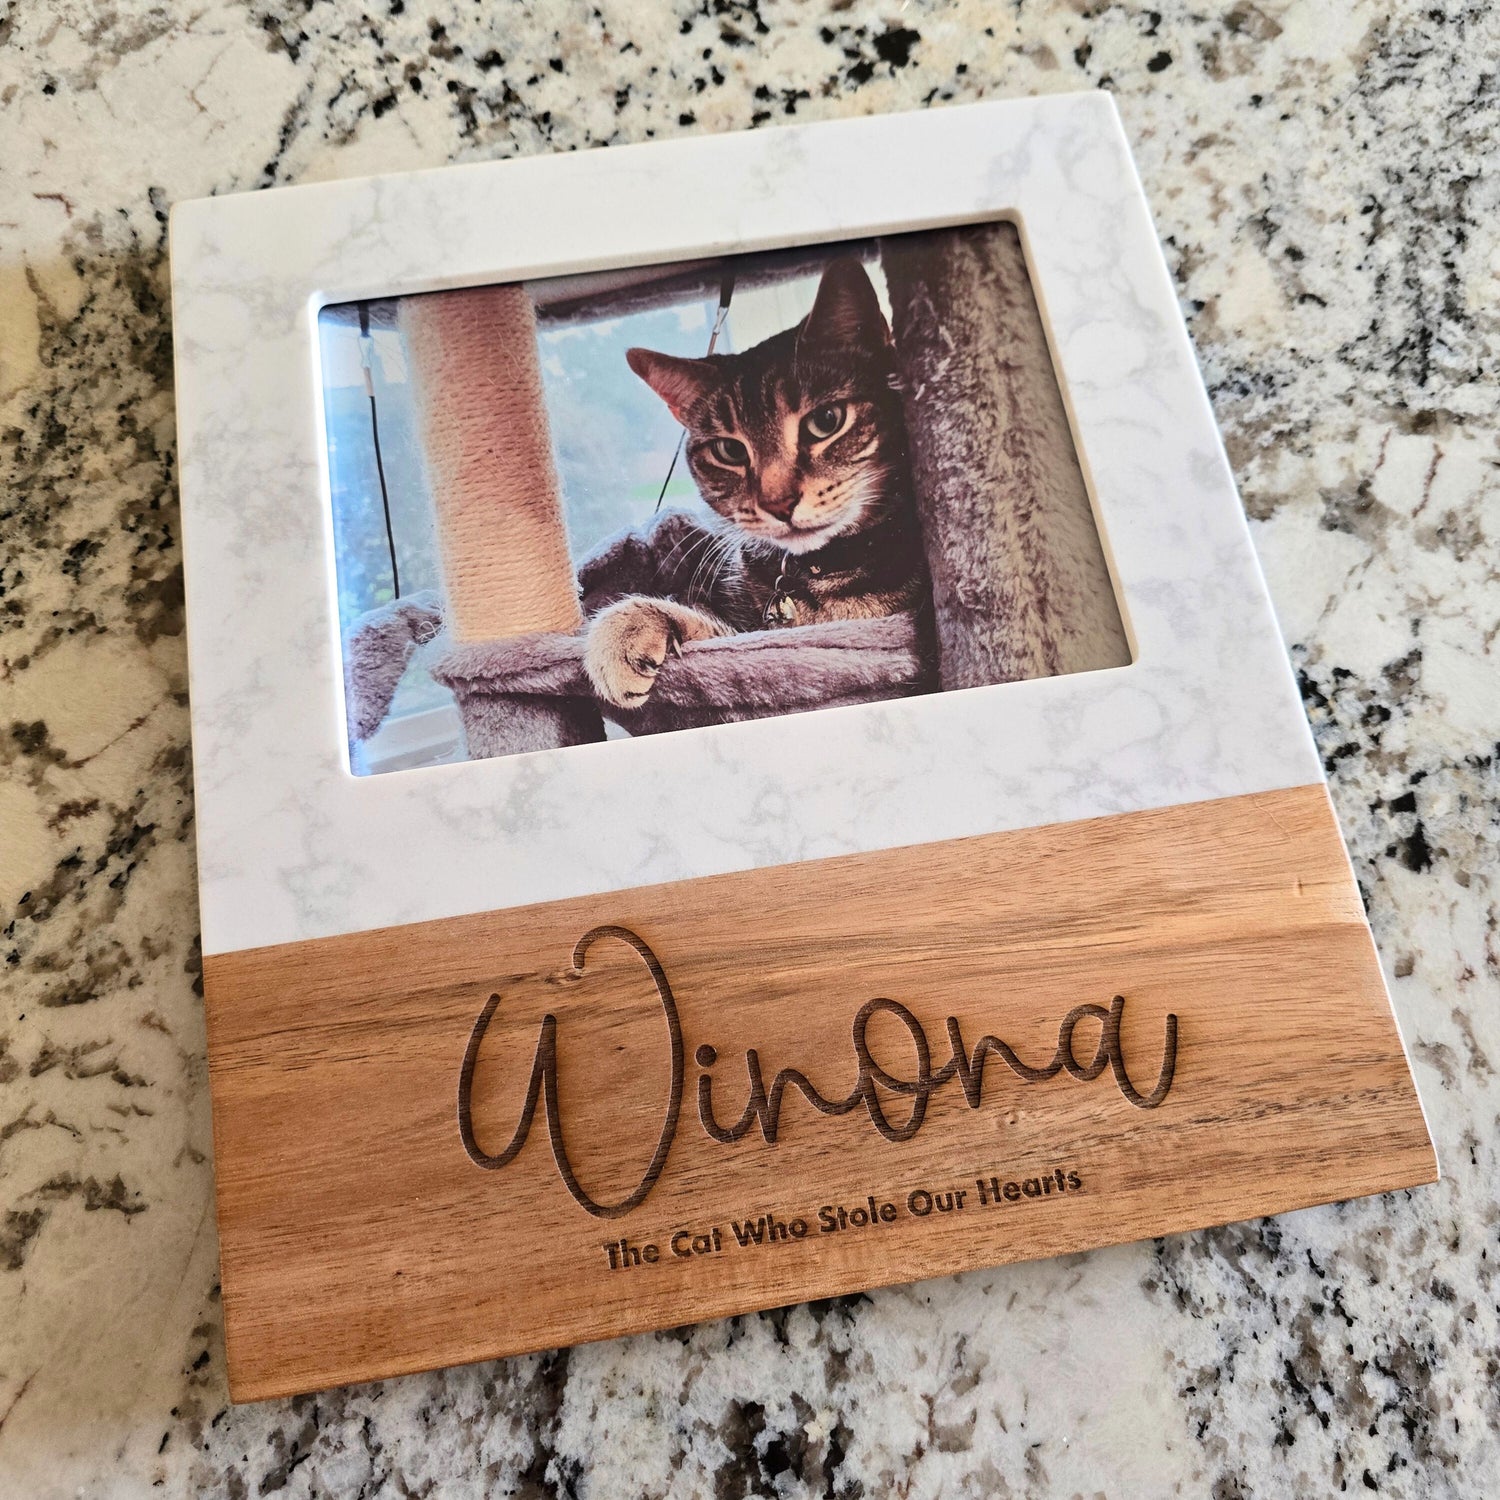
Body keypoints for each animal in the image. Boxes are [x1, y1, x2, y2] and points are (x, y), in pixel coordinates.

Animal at [578, 256, 930, 709]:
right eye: (729, 451)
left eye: (827, 421)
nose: (778, 503)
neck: (820, 573)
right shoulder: (750, 630)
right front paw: (628, 626)